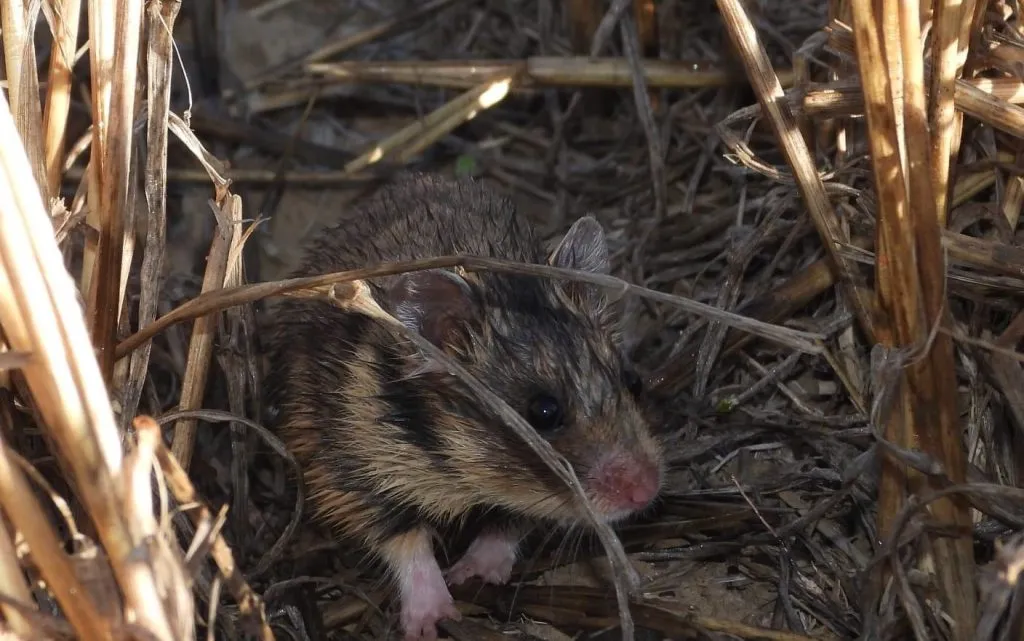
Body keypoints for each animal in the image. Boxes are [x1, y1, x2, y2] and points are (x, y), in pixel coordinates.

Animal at [263, 174, 664, 640]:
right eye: (543, 412)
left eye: (634, 382)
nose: (648, 492)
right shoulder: (348, 468)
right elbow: (405, 540)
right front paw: (431, 620)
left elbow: (510, 521)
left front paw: (476, 573)